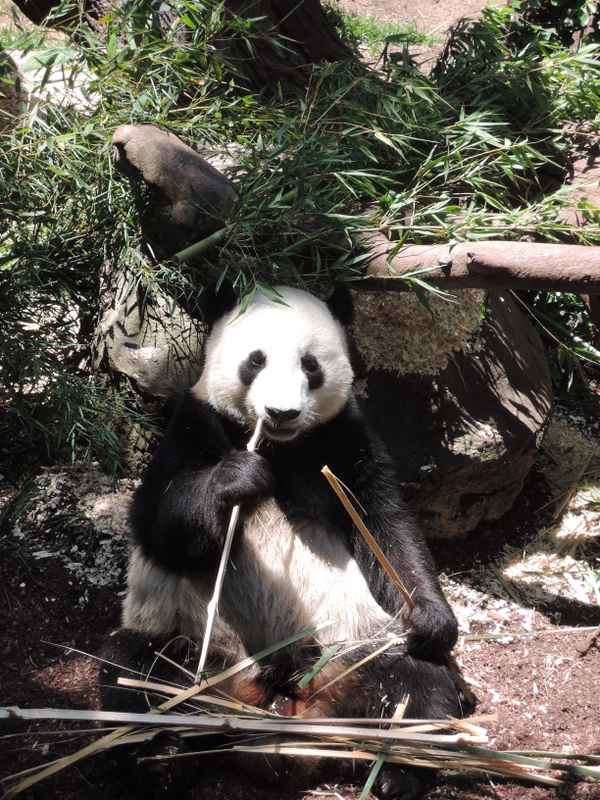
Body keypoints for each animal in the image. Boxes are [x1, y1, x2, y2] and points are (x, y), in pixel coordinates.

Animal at [101, 285, 465, 800]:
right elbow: (158, 525)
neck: (280, 448)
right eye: (255, 360)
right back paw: (159, 758)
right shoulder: (192, 426)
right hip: (193, 640)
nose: (282, 413)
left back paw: (399, 770)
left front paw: (431, 618)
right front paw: (238, 478)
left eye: (310, 365)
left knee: (419, 682)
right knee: (132, 673)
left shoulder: (346, 440)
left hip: (356, 644)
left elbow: (385, 527)